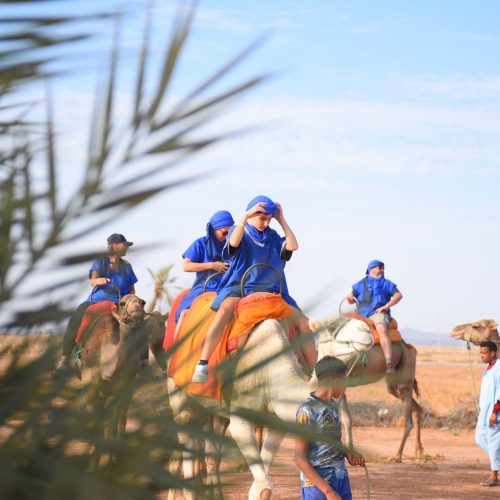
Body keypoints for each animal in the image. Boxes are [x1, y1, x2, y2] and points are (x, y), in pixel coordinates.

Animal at [80, 294, 164, 466]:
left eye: (143, 302)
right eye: (123, 303)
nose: (137, 304)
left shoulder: (124, 387)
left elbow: (112, 423)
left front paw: (110, 459)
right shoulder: (90, 387)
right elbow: (95, 421)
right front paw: (92, 462)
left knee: (120, 419)